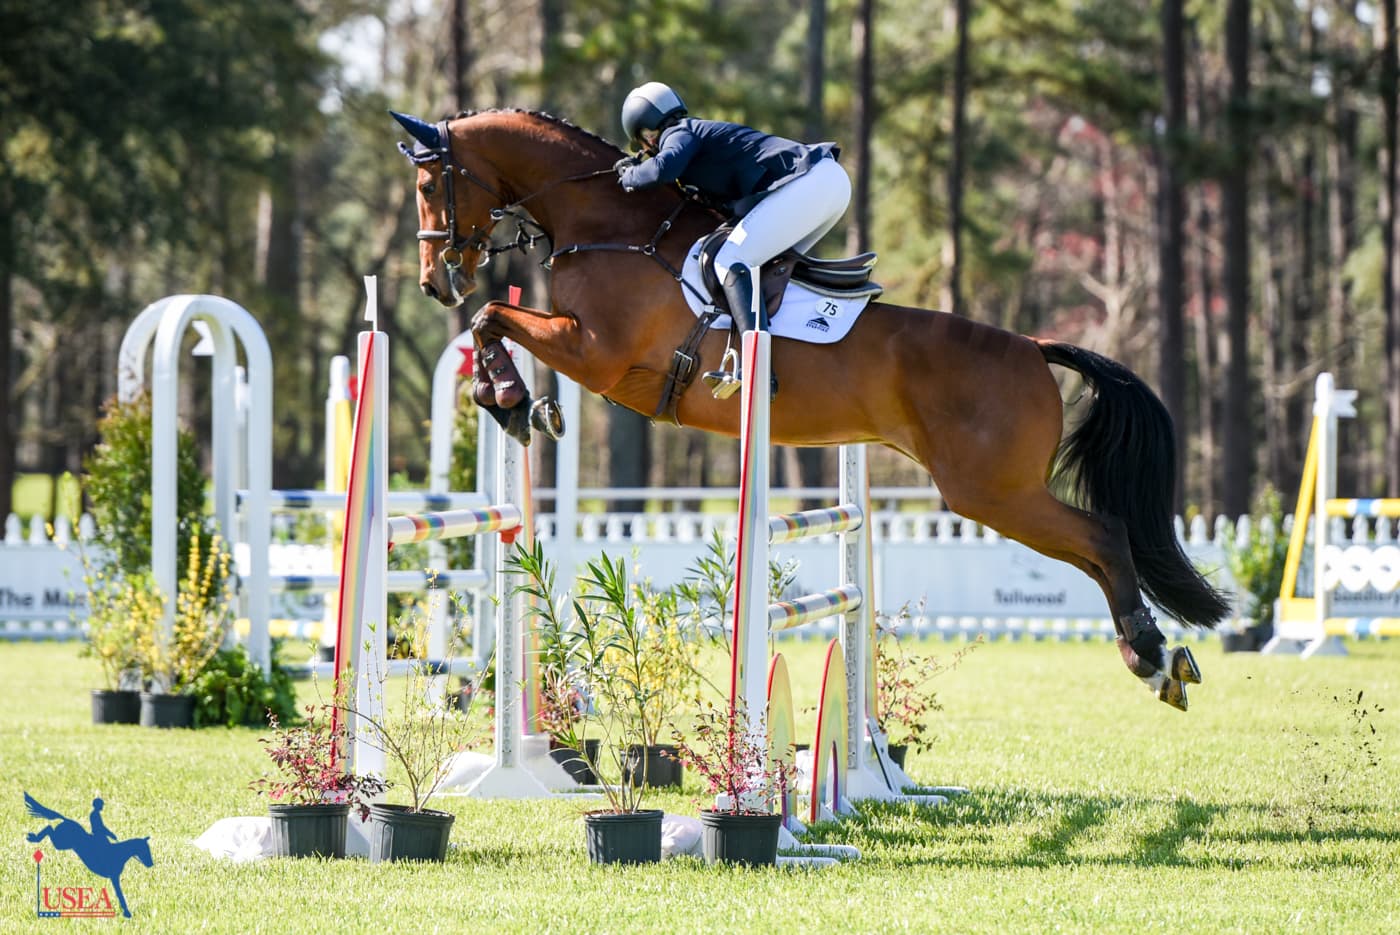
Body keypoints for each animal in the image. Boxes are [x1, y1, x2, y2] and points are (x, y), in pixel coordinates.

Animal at [391, 107, 1230, 709]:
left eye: (431, 188)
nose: (435, 280)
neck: (609, 224)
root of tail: (1031, 345)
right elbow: (492, 319)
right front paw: (514, 402)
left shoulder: (592, 350)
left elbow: (492, 317)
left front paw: (511, 400)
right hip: (999, 493)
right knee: (1098, 550)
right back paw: (1156, 656)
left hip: (994, 492)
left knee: (1105, 536)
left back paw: (1152, 657)